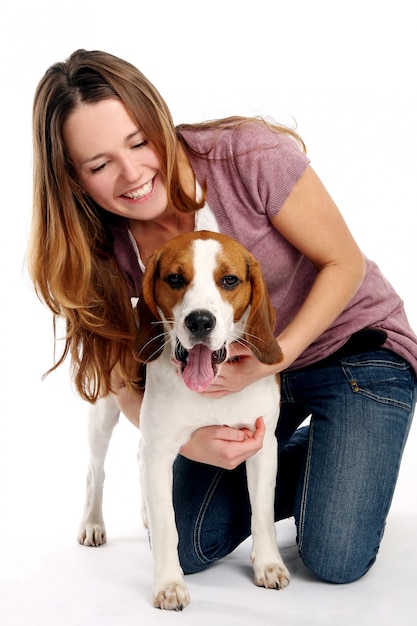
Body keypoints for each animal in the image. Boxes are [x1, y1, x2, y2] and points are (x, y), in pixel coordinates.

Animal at [76, 230, 288, 608]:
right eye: (175, 279)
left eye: (229, 280)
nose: (200, 321)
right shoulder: (160, 448)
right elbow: (167, 523)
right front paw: (169, 584)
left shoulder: (264, 445)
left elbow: (262, 511)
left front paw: (268, 564)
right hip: (103, 414)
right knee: (95, 470)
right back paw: (92, 523)